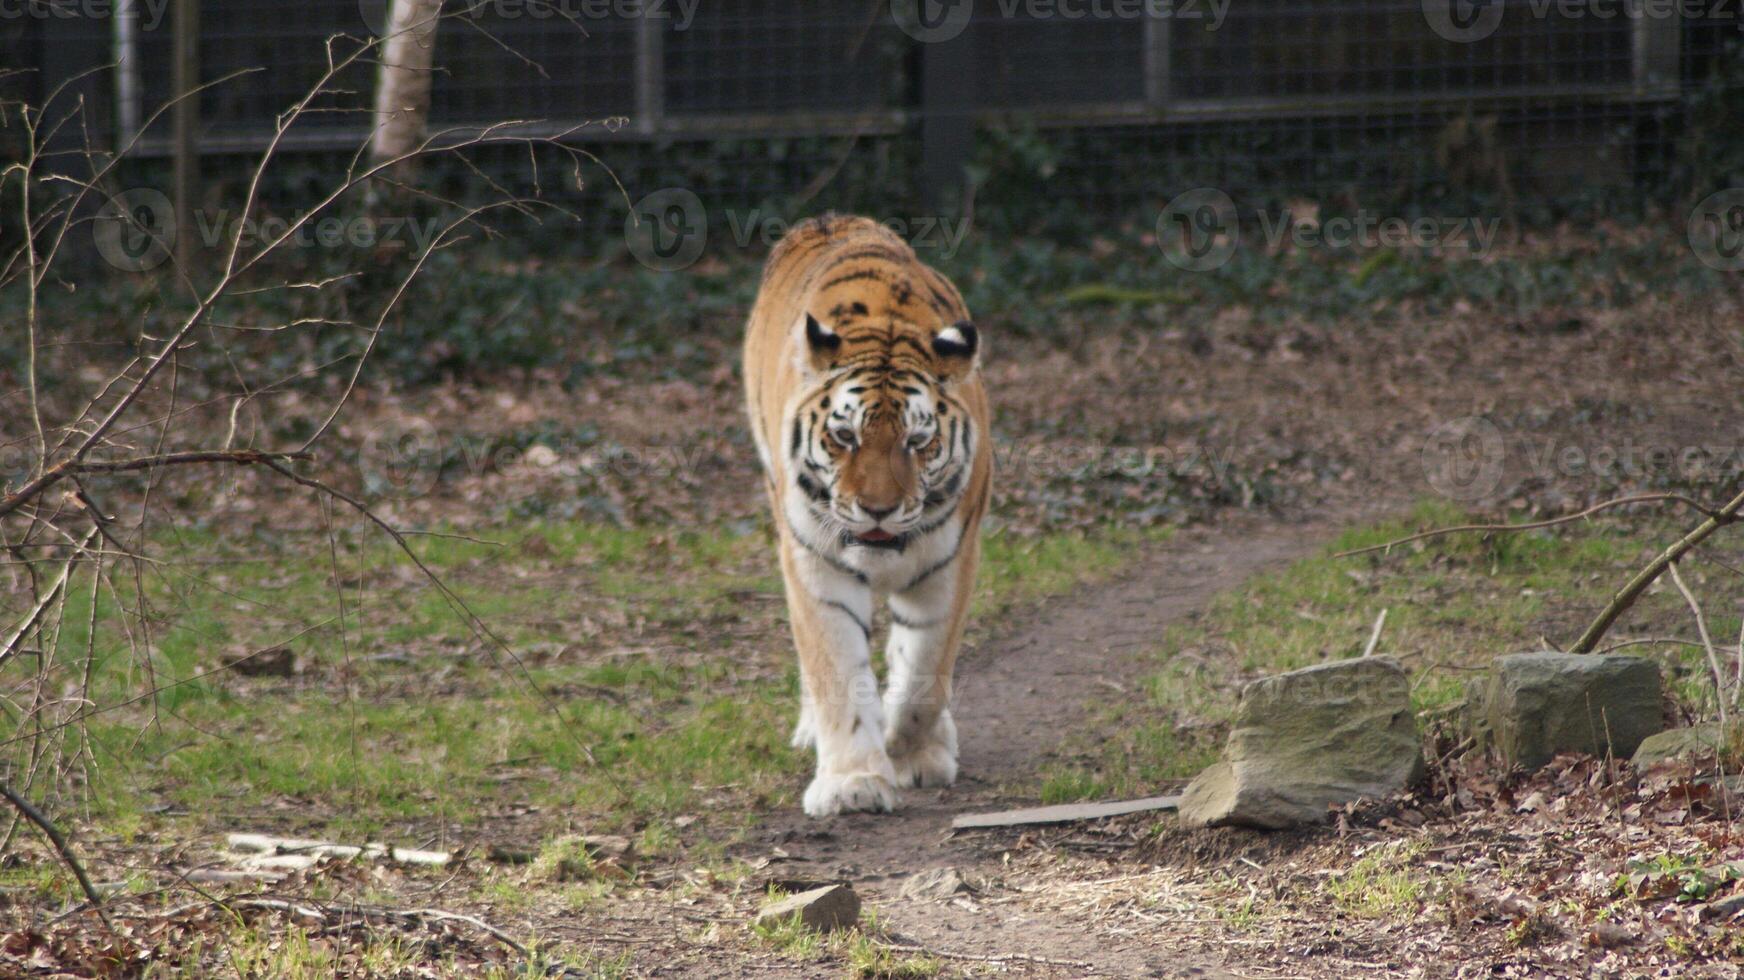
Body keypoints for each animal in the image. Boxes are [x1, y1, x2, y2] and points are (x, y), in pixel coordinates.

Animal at [739, 213, 997, 816]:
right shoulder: (814, 565)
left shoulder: (951, 562)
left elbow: (925, 671)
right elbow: (835, 671)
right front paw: (853, 782)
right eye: (844, 437)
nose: (878, 510)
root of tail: (833, 218)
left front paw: (911, 752)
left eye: (918, 442)